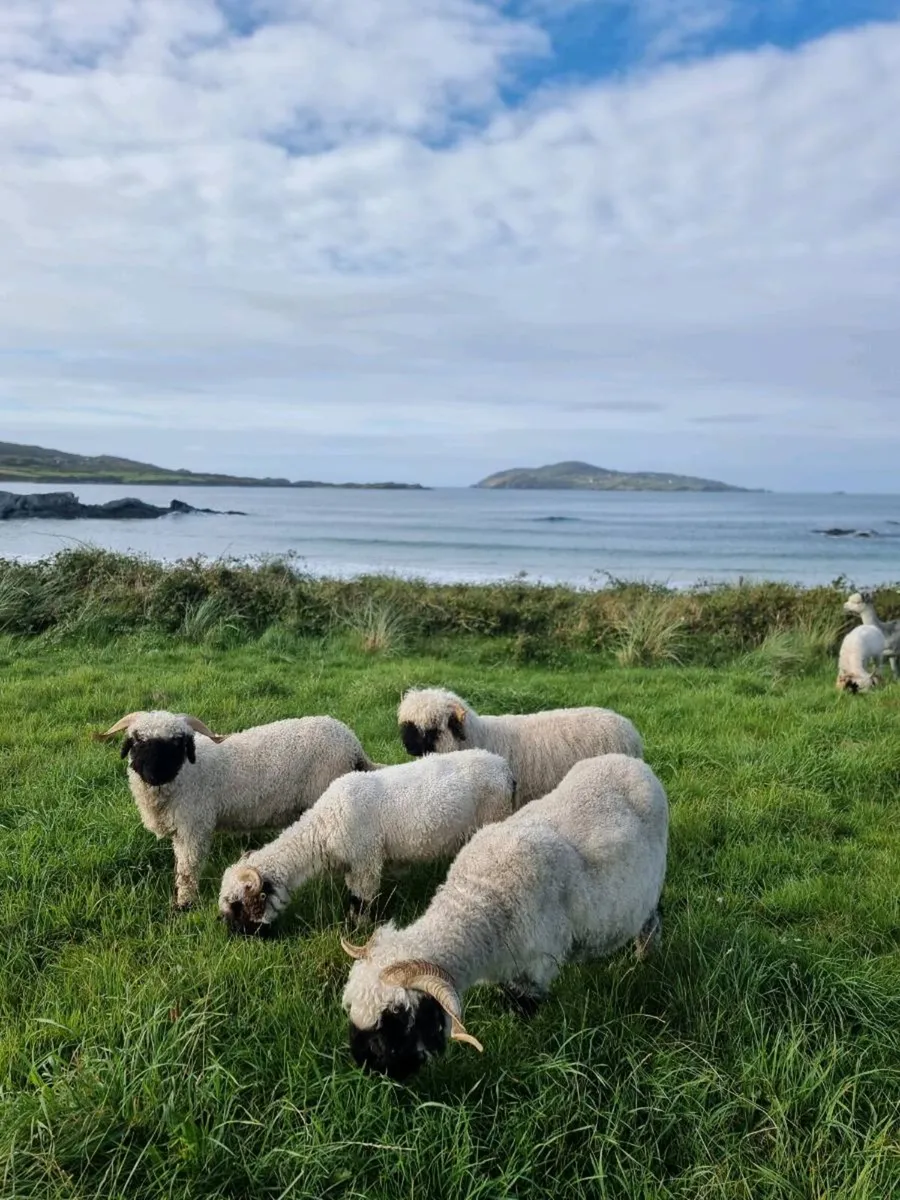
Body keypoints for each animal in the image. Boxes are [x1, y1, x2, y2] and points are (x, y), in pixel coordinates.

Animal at [94, 710, 377, 909]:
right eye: (137, 741)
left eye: (177, 743)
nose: (155, 774)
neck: (186, 775)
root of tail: (352, 743)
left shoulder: (194, 827)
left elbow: (187, 869)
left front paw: (184, 904)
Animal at [218, 749, 517, 935]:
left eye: (237, 905)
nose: (235, 937)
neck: (323, 827)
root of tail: (505, 770)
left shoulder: (365, 862)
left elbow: (360, 901)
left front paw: (357, 930)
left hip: (495, 817)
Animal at [340, 752, 668, 1080]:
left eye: (399, 1020)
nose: (365, 1066)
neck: (480, 899)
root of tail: (631, 762)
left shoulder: (537, 965)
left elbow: (522, 1011)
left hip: (652, 887)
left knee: (651, 925)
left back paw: (644, 960)